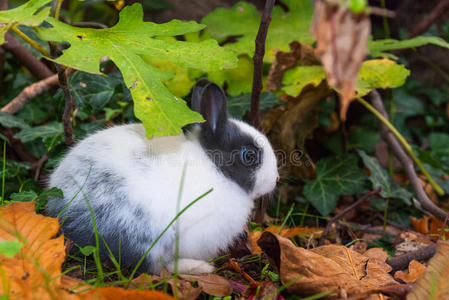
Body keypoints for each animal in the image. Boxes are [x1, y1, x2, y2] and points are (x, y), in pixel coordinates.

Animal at [44, 79, 276, 274]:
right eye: (249, 155)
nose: (275, 179)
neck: (216, 168)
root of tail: (61, 208)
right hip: (142, 234)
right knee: (152, 265)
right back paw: (198, 268)